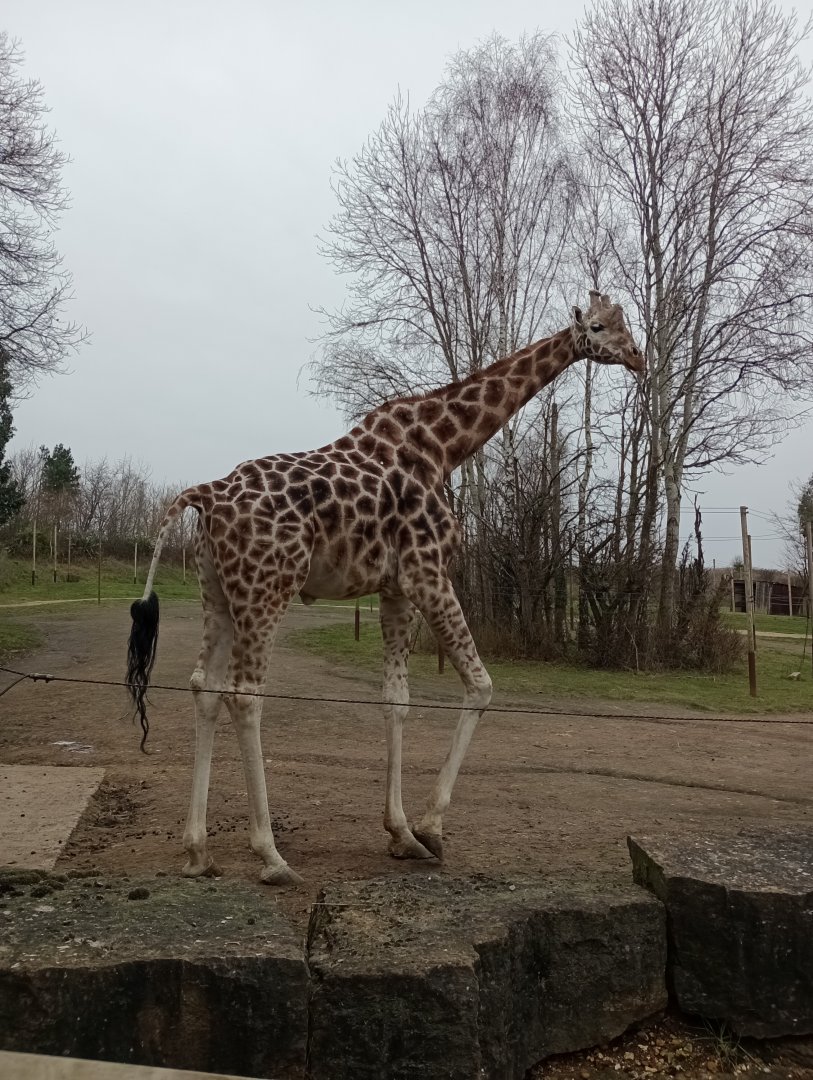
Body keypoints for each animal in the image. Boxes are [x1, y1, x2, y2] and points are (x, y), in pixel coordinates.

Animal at [127, 290, 643, 885]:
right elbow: (481, 685)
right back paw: (271, 855)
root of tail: (205, 495)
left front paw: (401, 834)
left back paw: (197, 850)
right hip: (267, 588)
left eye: (626, 324)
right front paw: (430, 828)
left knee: (204, 687)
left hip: (218, 592)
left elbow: (396, 698)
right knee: (245, 693)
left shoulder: (395, 588)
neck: (444, 445)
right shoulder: (428, 570)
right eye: (600, 326)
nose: (638, 357)